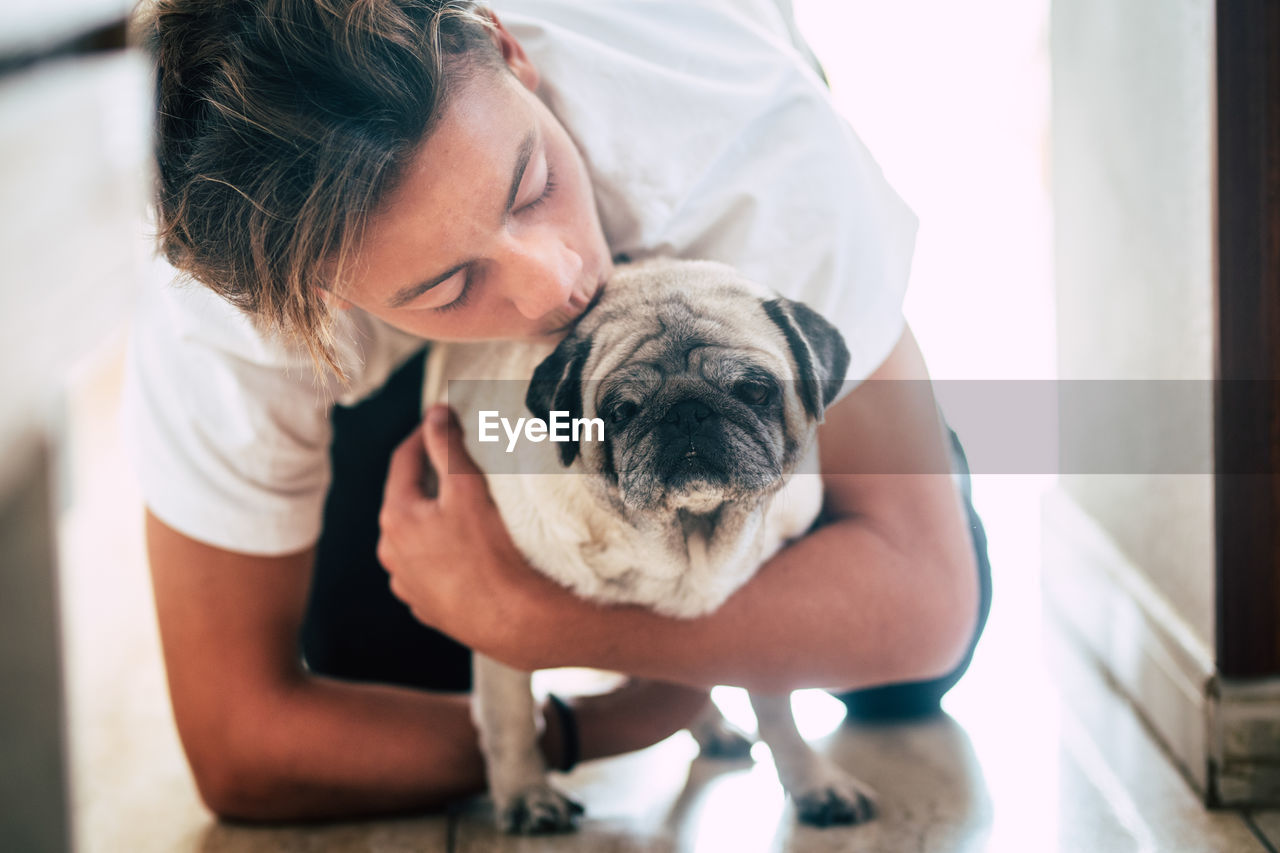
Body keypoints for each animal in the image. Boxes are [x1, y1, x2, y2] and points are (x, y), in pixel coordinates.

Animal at [424, 257, 875, 829]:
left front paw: (812, 780)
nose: (687, 411)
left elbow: (777, 705)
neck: (685, 541)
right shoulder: (496, 617)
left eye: (755, 391)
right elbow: (510, 720)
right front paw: (527, 795)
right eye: (620, 411)